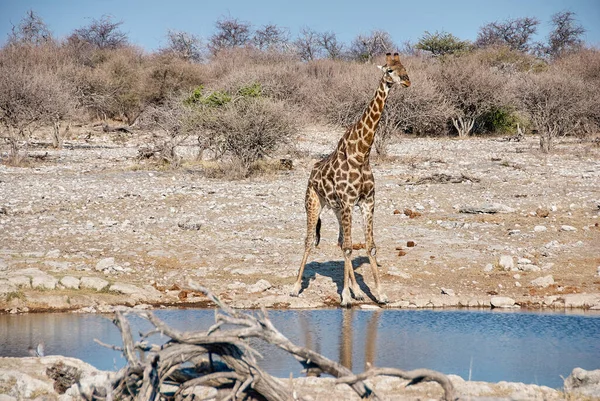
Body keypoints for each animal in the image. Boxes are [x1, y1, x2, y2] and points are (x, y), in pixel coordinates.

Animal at [290, 51, 412, 304]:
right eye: (389, 70)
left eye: (404, 68)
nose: (407, 81)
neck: (362, 153)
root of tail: (311, 173)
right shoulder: (348, 201)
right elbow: (349, 247)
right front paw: (344, 297)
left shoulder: (367, 201)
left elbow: (369, 245)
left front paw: (379, 294)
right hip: (313, 202)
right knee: (309, 240)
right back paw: (296, 287)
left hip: (337, 209)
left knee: (340, 241)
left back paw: (357, 291)